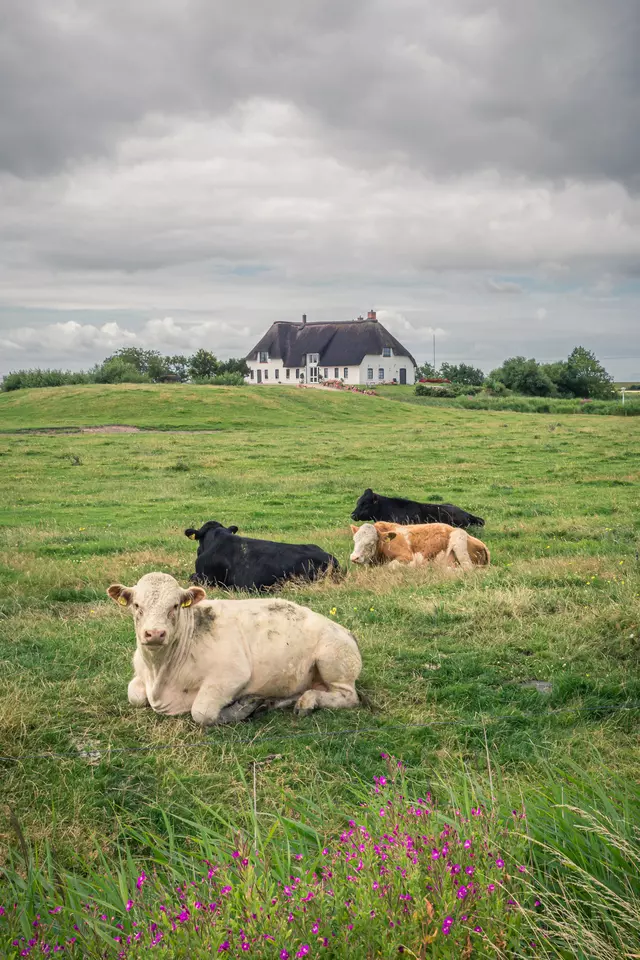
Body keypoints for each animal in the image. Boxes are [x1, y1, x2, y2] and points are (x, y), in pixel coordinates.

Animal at [107, 572, 362, 724]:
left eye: (175, 606)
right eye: (136, 605)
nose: (155, 633)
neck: (159, 675)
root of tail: (344, 630)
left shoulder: (232, 675)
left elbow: (201, 712)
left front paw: (239, 708)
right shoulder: (140, 674)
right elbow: (134, 695)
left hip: (332, 659)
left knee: (348, 697)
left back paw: (308, 701)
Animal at [350, 516, 490, 568]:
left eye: (371, 543)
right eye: (355, 540)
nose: (354, 557)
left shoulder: (408, 558)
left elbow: (391, 566)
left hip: (459, 540)